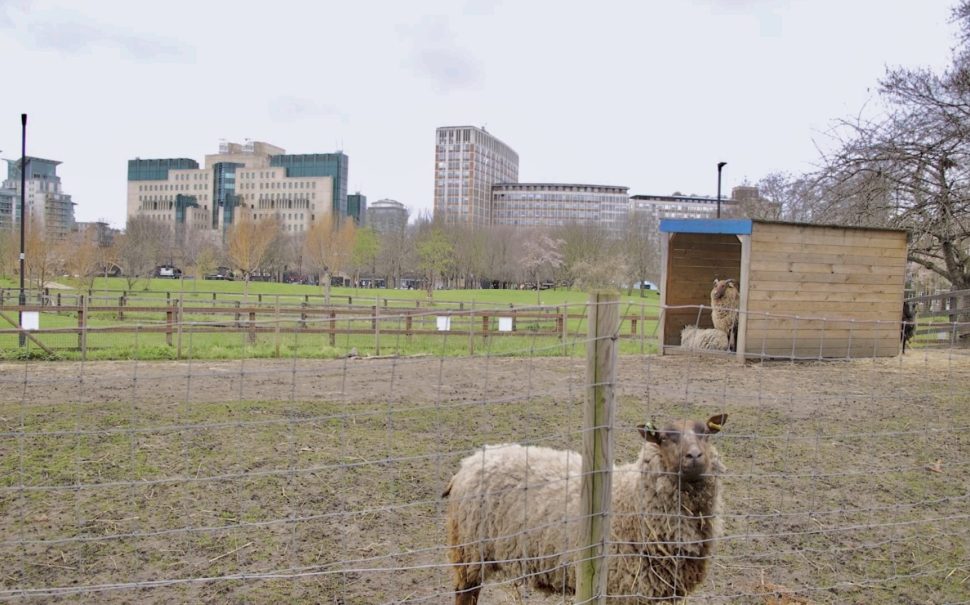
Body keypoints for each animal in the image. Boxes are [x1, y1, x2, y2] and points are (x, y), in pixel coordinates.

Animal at [440, 412, 728, 600]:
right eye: (665, 438)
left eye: (706, 434)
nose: (694, 456)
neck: (631, 499)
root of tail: (468, 463)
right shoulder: (621, 587)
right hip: (468, 551)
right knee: (464, 593)